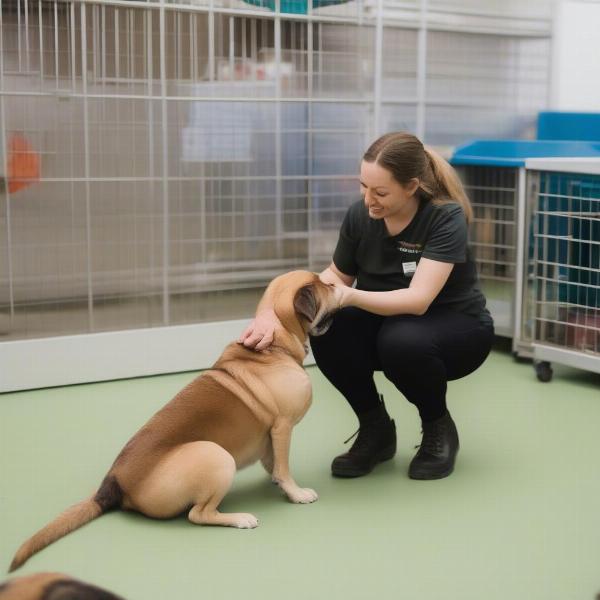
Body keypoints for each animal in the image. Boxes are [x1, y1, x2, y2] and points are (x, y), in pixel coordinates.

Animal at [9, 270, 340, 568]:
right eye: (322, 284)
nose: (334, 282)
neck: (275, 344)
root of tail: (114, 483)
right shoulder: (283, 427)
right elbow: (284, 468)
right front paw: (295, 493)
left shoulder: (272, 436)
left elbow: (273, 463)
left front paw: (276, 481)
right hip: (215, 455)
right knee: (198, 515)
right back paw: (239, 519)